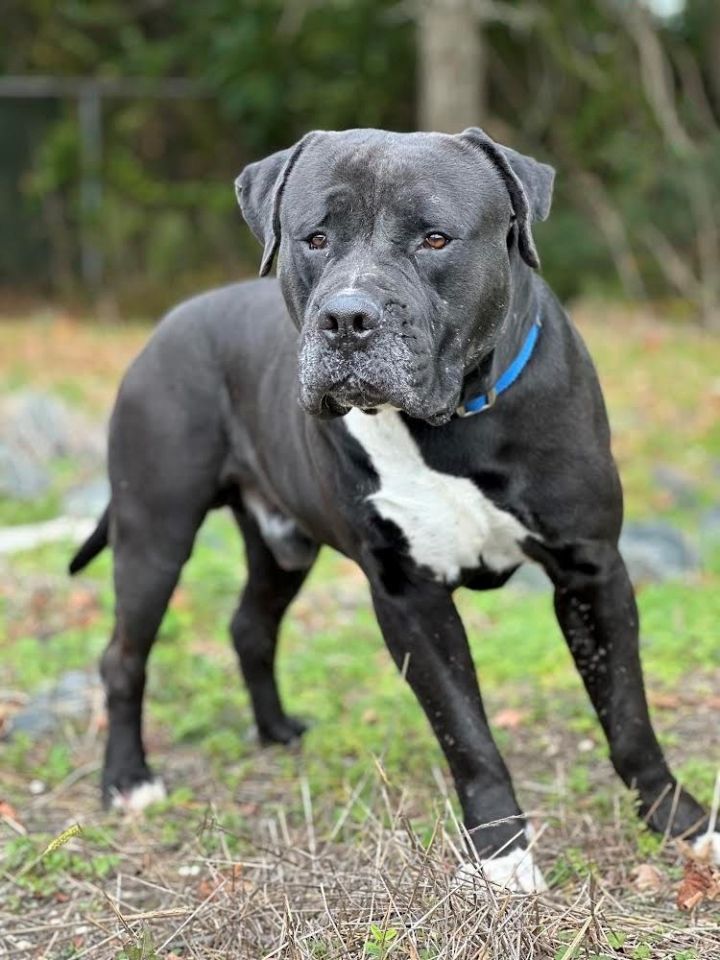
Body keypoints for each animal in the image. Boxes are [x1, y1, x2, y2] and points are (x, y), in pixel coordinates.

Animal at [69, 129, 720, 892]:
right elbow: (466, 734)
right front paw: (503, 858)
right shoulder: (410, 596)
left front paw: (683, 824)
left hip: (280, 545)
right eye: (315, 237)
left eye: (435, 238)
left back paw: (277, 731)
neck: (456, 421)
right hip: (156, 533)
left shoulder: (591, 571)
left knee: (250, 625)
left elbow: (628, 715)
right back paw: (128, 780)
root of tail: (165, 326)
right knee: (123, 657)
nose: (347, 317)